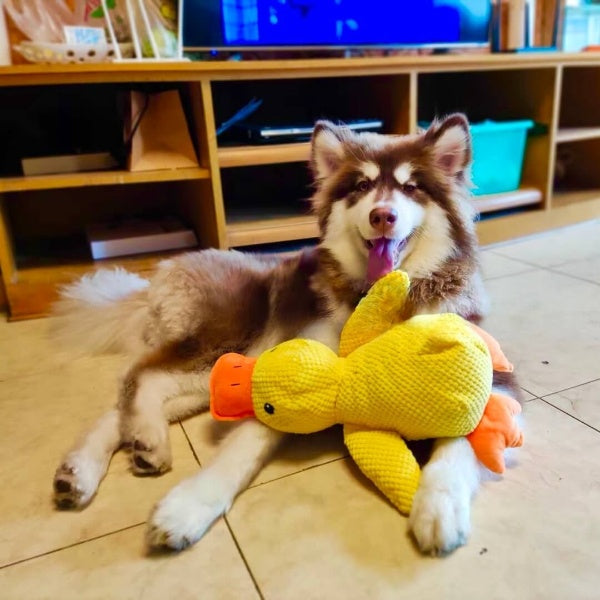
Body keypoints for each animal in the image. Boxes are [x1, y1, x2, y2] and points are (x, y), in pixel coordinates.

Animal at [52, 115, 520, 556]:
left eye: (411, 187)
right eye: (362, 186)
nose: (382, 215)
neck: (380, 298)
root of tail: (161, 273)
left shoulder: (490, 376)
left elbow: (461, 444)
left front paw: (439, 507)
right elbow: (243, 447)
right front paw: (188, 507)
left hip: (214, 376)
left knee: (125, 403)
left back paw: (87, 468)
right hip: (226, 335)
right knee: (141, 375)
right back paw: (146, 442)